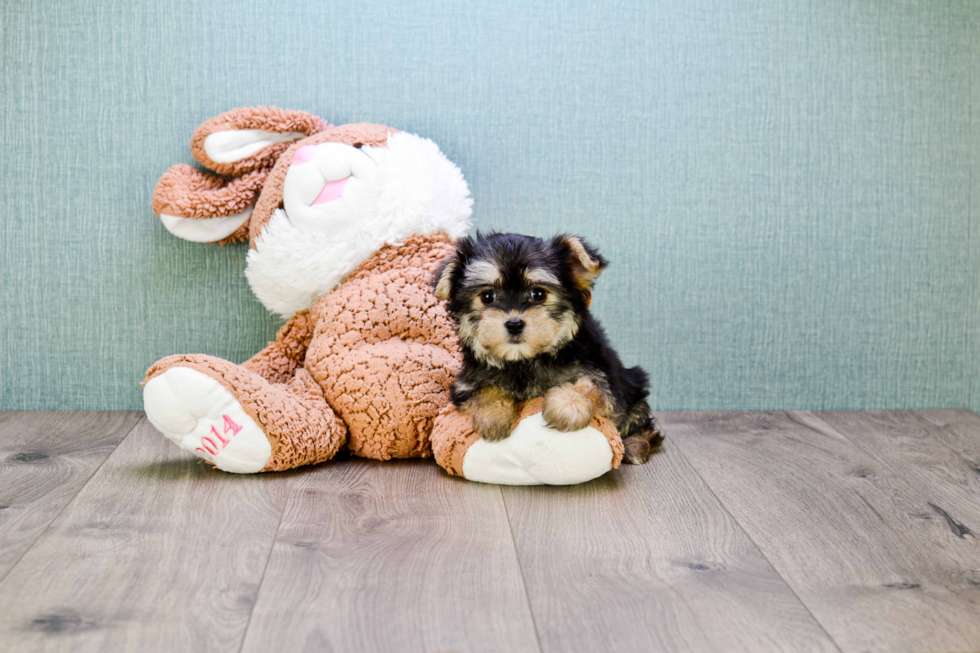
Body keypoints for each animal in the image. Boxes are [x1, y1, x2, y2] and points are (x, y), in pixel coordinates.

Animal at [436, 232, 668, 460]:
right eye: (487, 296)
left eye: (538, 294)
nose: (514, 323)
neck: (524, 360)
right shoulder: (466, 384)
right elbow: (485, 389)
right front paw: (493, 415)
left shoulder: (609, 385)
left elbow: (594, 385)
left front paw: (568, 404)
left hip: (634, 385)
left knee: (642, 422)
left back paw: (636, 445)